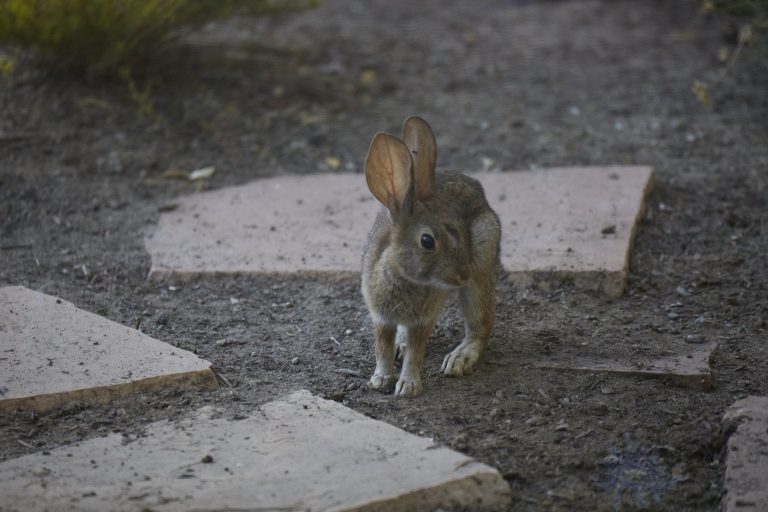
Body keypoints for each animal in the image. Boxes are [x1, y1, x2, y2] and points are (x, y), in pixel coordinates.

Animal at [361, 116, 502, 397]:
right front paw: (380, 379)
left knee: (481, 324)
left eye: (456, 231)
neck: (402, 274)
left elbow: (416, 352)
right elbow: (382, 347)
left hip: (482, 263)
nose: (463, 273)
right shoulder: (380, 316)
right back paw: (400, 346)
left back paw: (460, 358)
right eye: (427, 241)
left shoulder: (422, 320)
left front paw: (408, 387)